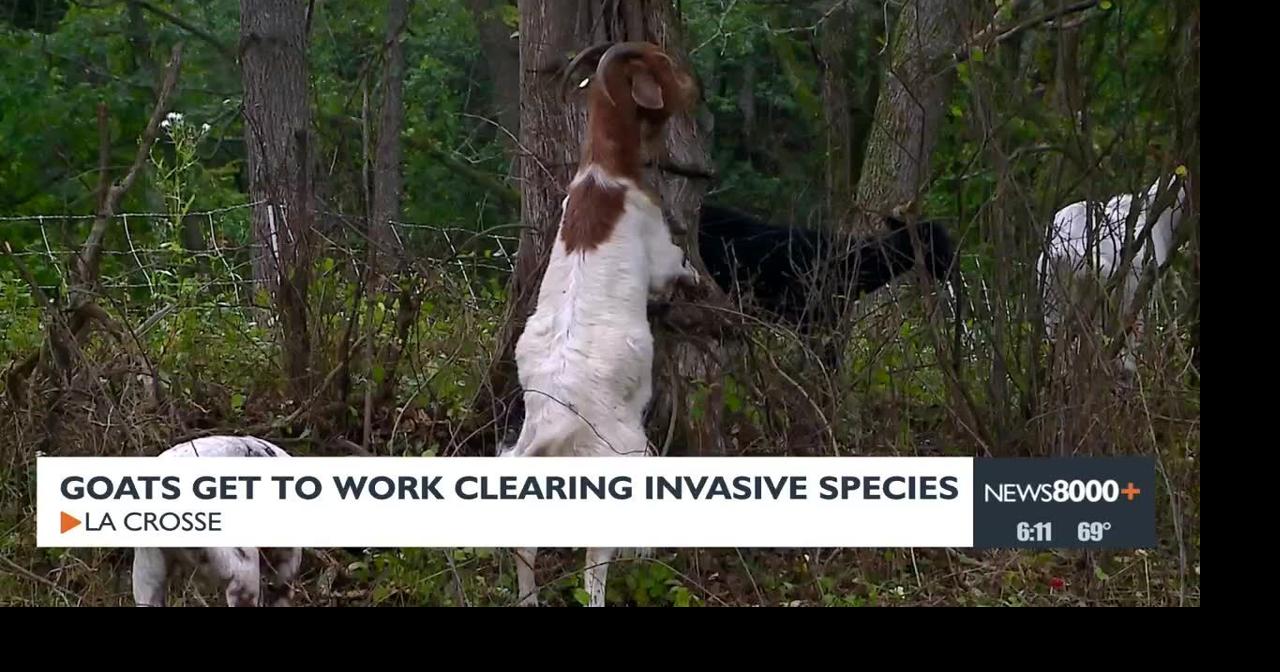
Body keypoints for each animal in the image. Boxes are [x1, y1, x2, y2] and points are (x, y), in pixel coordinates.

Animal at [500, 41, 699, 607]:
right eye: (662, 67)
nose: (695, 88)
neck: (605, 172)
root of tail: (556, 427)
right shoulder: (659, 252)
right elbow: (675, 266)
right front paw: (695, 278)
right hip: (622, 462)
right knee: (594, 566)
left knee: (525, 550)